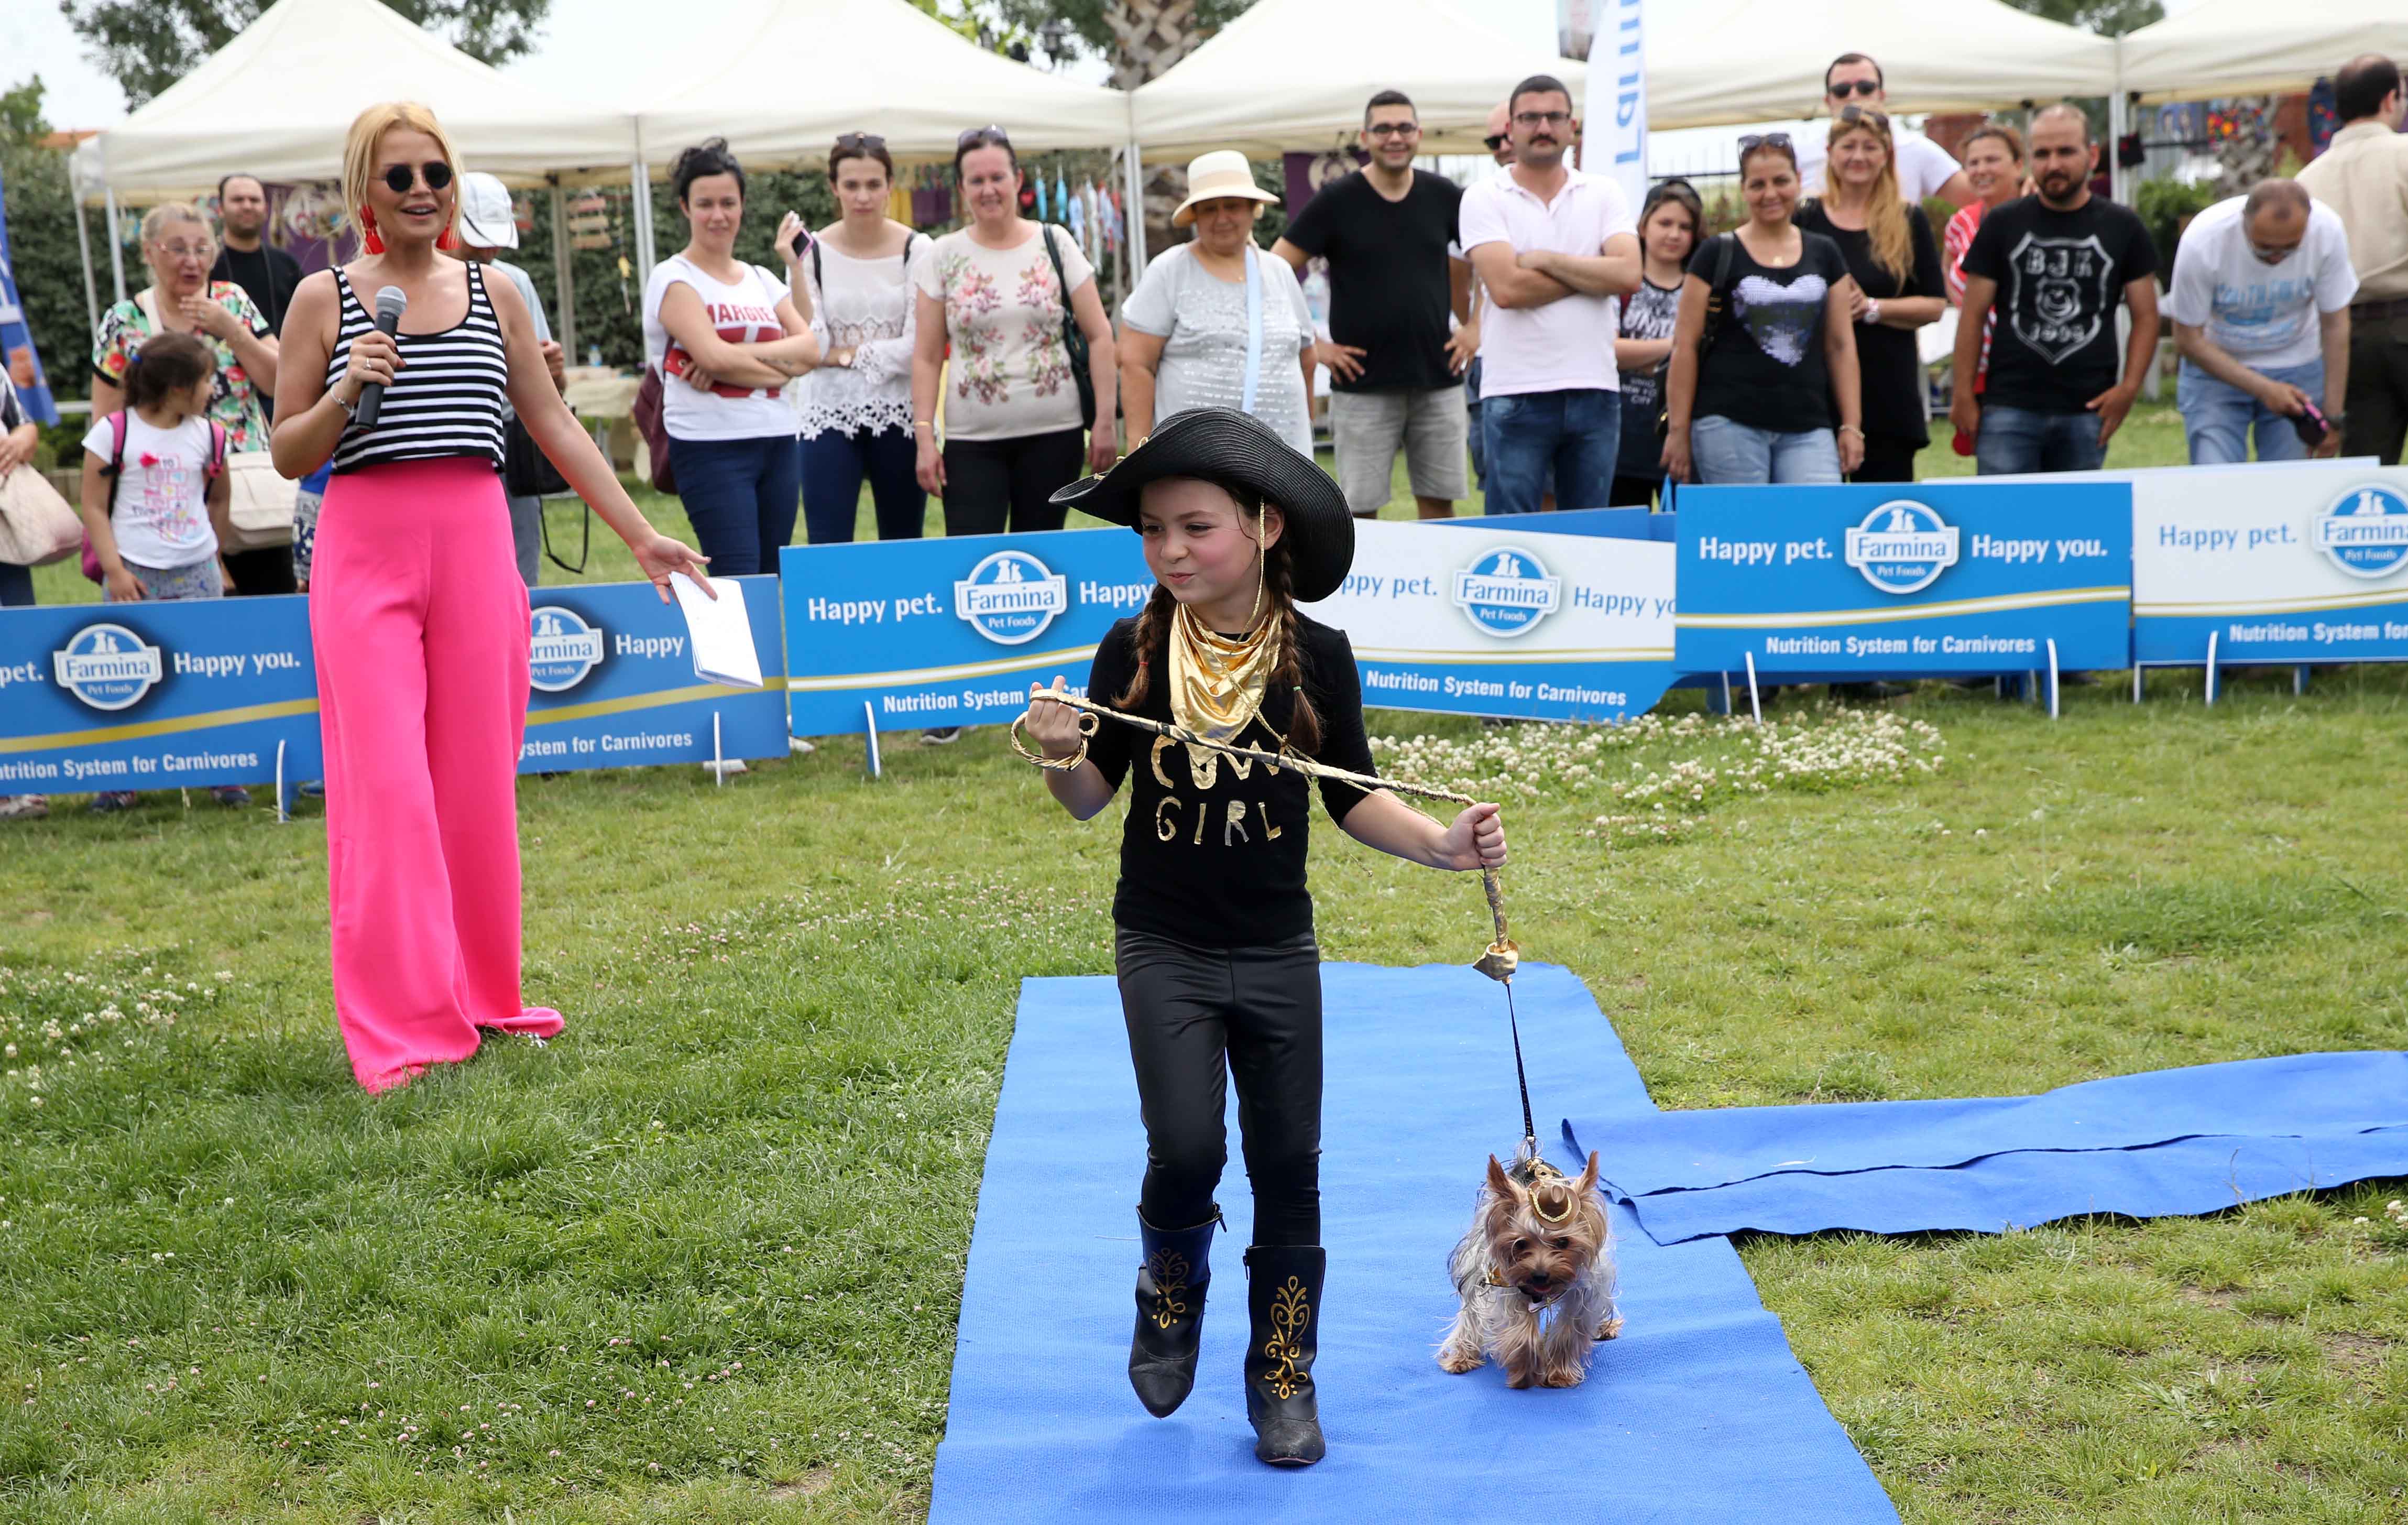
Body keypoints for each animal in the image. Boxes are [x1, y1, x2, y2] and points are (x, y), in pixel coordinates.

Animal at [1435, 1142, 1627, 1378]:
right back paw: (1462, 1356)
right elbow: (1519, 1327)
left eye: (1563, 1242)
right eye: (1520, 1244)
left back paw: (1606, 1327)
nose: (1540, 1275)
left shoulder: (1586, 1288)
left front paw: (1560, 1374)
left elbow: (1571, 1328)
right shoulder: (1507, 1281)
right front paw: (1526, 1366)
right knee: (1471, 1310)